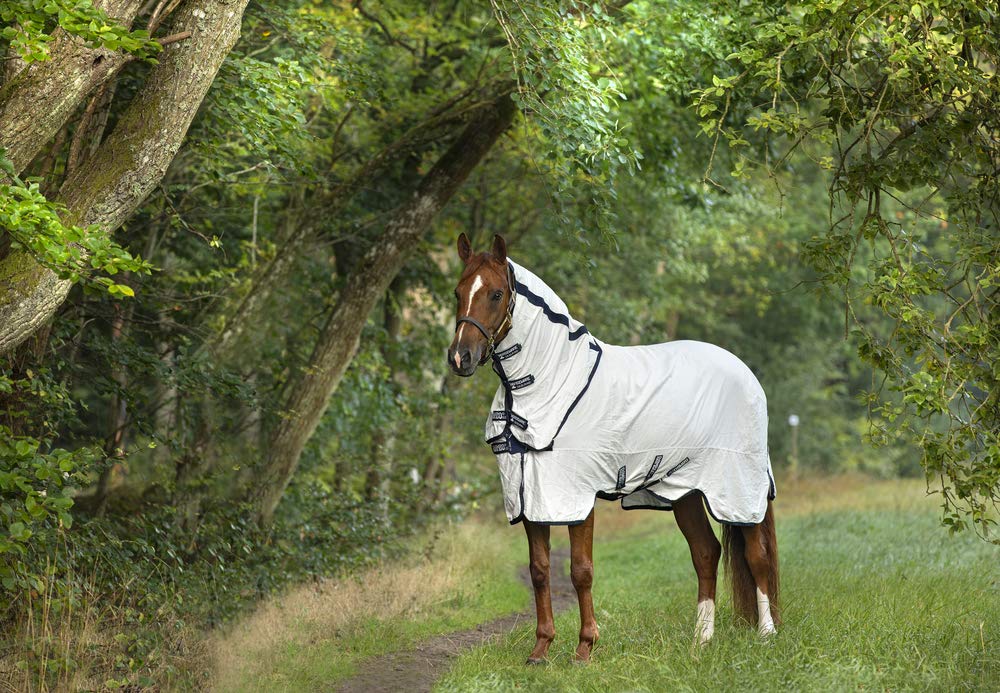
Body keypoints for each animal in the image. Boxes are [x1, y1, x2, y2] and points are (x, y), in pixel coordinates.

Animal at [447, 233, 779, 664]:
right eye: (457, 292)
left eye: (496, 293)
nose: (460, 358)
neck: (550, 381)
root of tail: (746, 373)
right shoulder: (532, 497)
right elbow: (539, 570)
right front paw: (541, 649)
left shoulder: (576, 496)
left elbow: (580, 570)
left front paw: (585, 648)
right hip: (685, 490)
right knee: (706, 554)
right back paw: (701, 642)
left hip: (739, 487)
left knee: (757, 556)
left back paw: (767, 635)